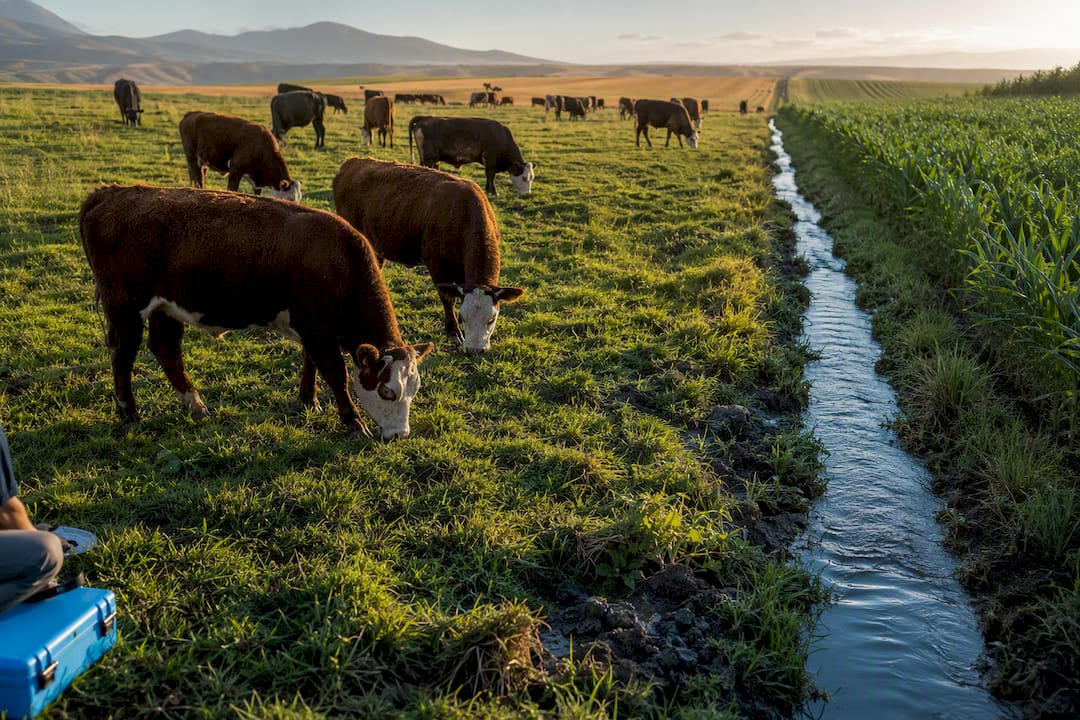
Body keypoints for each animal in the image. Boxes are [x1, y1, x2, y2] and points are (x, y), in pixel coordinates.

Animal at [78, 184, 434, 440]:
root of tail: (108, 193)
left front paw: (309, 399)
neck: (338, 259)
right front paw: (353, 422)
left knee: (166, 351)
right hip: (125, 307)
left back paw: (195, 405)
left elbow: (310, 362)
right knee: (123, 355)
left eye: (413, 390)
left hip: (165, 308)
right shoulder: (318, 331)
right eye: (387, 391)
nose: (400, 435)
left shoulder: (313, 329)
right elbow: (336, 374)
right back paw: (129, 413)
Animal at [333, 158, 524, 353]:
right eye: (462, 317)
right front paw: (453, 332)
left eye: (491, 319)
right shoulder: (437, 266)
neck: (463, 214)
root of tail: (353, 162)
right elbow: (448, 300)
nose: (474, 350)